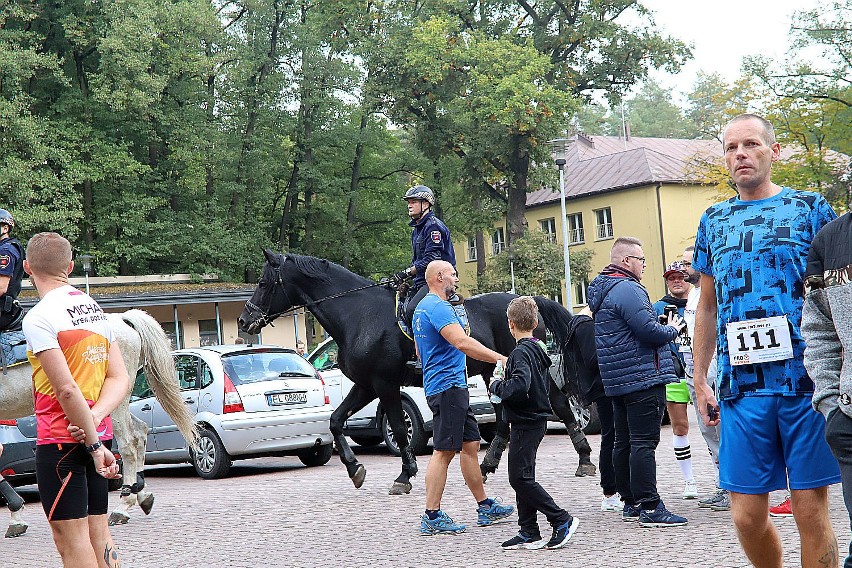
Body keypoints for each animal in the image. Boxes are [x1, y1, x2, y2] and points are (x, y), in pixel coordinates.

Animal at [0, 308, 196, 532]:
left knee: (129, 443)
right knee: (140, 430)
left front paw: (16, 513)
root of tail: (122, 319)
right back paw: (141, 493)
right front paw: (16, 514)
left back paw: (123, 505)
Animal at [236, 251, 588, 494]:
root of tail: (526, 300)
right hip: (494, 373)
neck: (359, 314)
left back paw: (584, 459)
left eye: (264, 283)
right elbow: (336, 421)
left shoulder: (385, 385)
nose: (243, 321)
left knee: (558, 405)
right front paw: (354, 469)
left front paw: (405, 474)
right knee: (503, 421)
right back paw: (487, 467)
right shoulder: (365, 385)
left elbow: (397, 426)